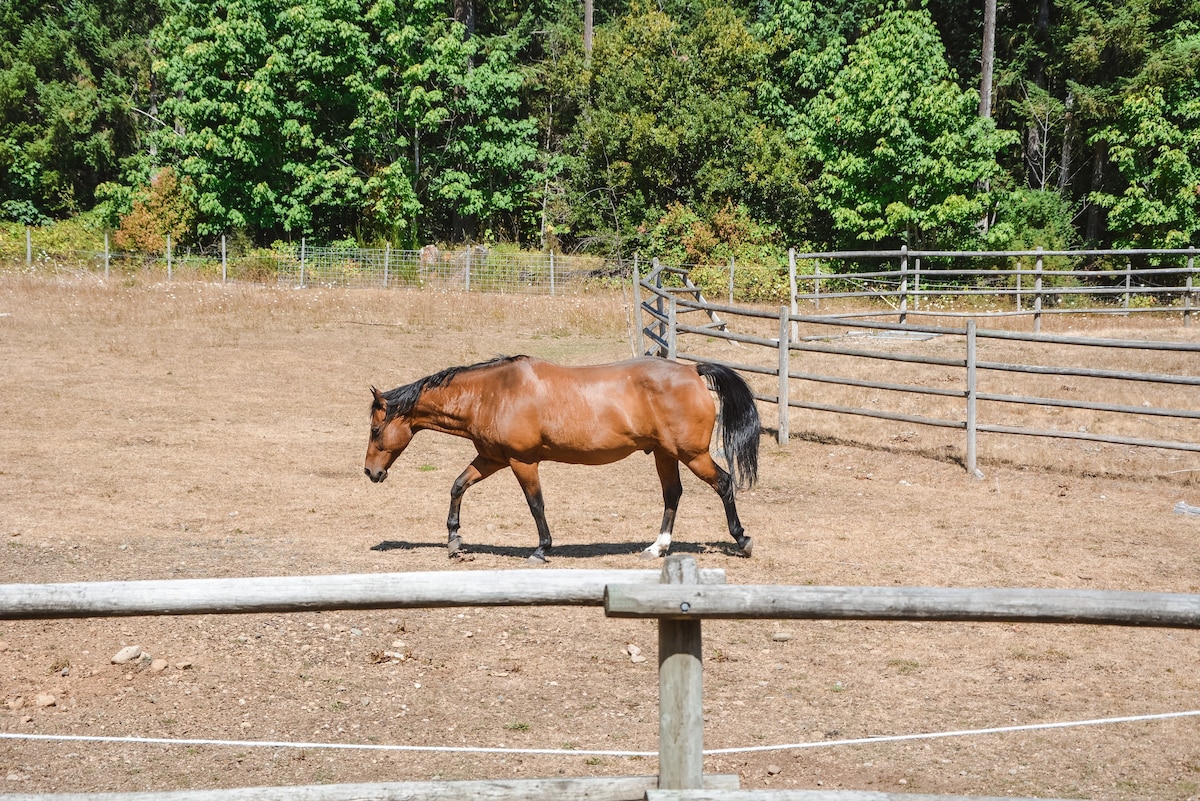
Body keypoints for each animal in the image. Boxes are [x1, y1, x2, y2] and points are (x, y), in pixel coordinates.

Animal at [364, 357, 758, 563]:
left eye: (375, 429)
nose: (371, 472)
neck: (493, 394)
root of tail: (693, 370)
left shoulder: (522, 462)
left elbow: (536, 504)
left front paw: (541, 548)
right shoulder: (491, 458)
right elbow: (458, 485)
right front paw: (454, 541)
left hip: (692, 455)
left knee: (724, 483)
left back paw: (741, 540)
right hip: (665, 454)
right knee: (673, 495)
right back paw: (657, 547)